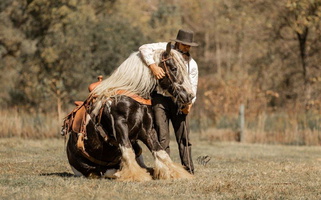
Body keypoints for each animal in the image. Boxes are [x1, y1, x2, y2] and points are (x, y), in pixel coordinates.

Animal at [62, 42, 192, 181]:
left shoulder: (147, 130)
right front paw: (136, 175)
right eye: (173, 68)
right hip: (88, 171)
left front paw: (175, 173)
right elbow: (127, 149)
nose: (189, 95)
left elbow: (160, 152)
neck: (132, 95)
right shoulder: (119, 124)